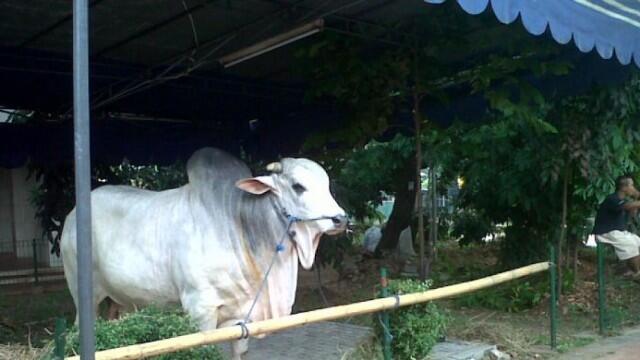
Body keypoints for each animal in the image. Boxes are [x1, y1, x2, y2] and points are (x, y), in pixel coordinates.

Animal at [61, 148, 344, 358]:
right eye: (298, 186)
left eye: (328, 184)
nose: (341, 219)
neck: (240, 225)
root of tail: (72, 215)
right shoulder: (200, 309)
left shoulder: (241, 317)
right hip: (82, 292)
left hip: (122, 300)